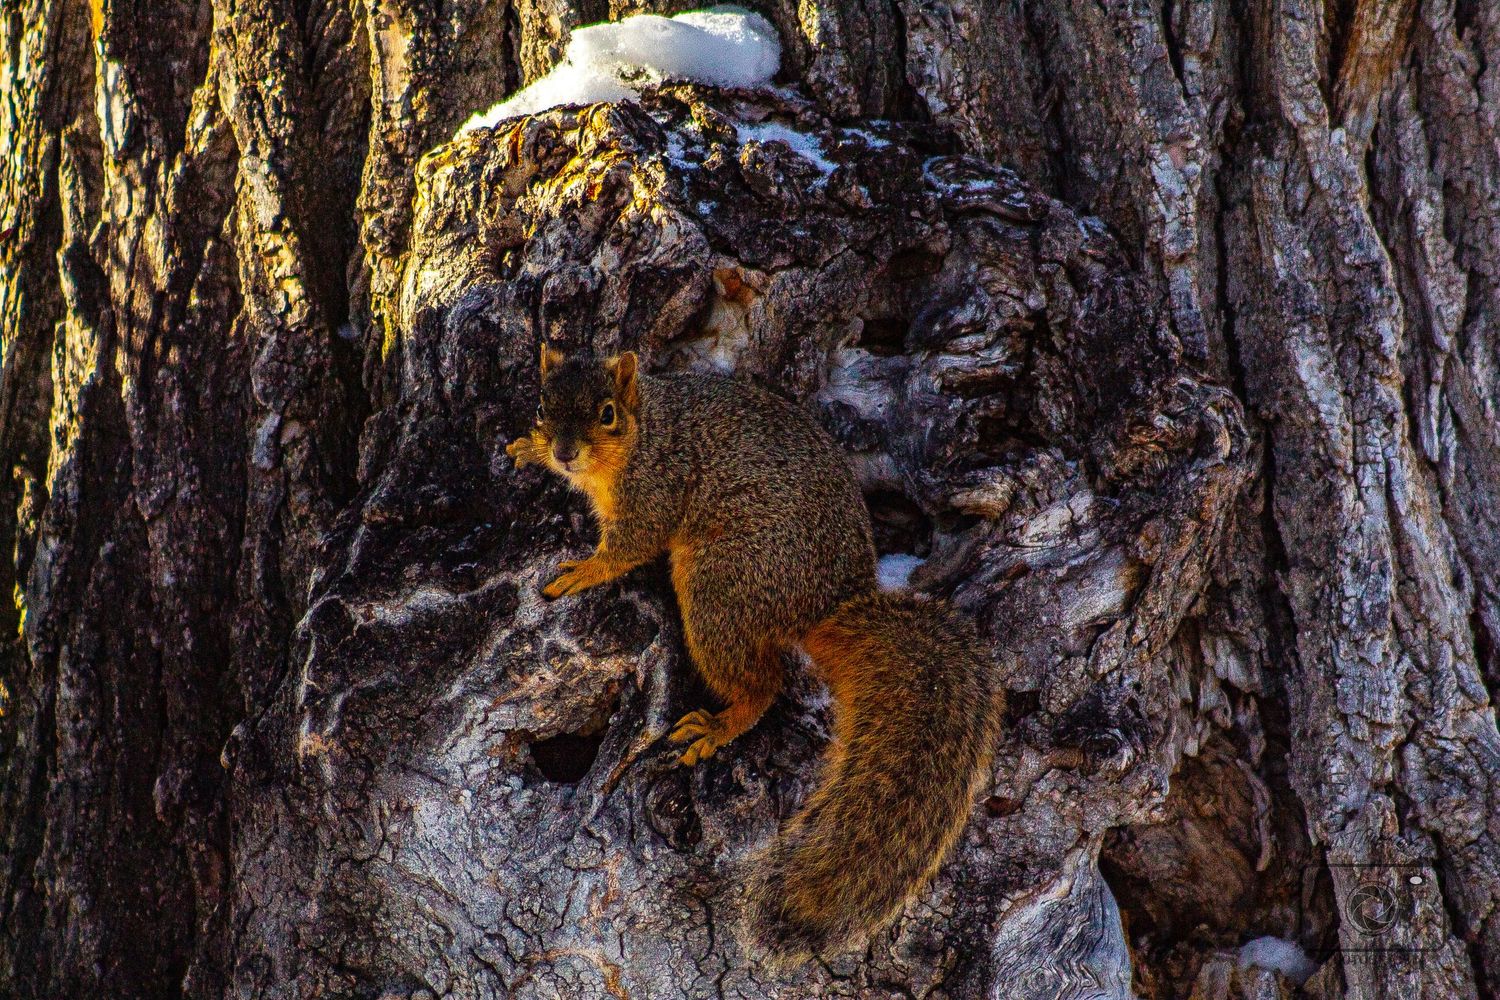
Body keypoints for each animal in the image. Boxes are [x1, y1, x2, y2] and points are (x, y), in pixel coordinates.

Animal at [506, 345, 1005, 963]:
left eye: (606, 413)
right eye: (542, 405)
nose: (563, 451)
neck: (645, 431)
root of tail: (826, 607)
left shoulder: (656, 488)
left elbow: (631, 546)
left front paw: (585, 570)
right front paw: (528, 449)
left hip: (720, 583)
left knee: (762, 684)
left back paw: (719, 726)